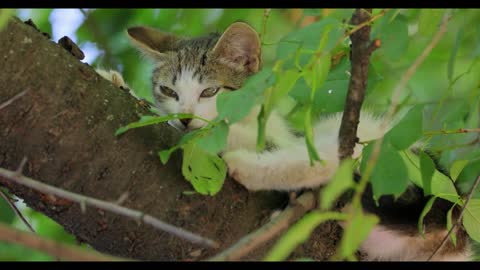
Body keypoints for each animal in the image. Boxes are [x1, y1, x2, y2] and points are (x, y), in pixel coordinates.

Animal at [97, 20, 472, 260]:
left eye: (210, 92)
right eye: (169, 91)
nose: (187, 117)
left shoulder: (276, 133)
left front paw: (203, 132)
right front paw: (116, 81)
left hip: (371, 142)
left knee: (331, 158)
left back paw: (246, 166)